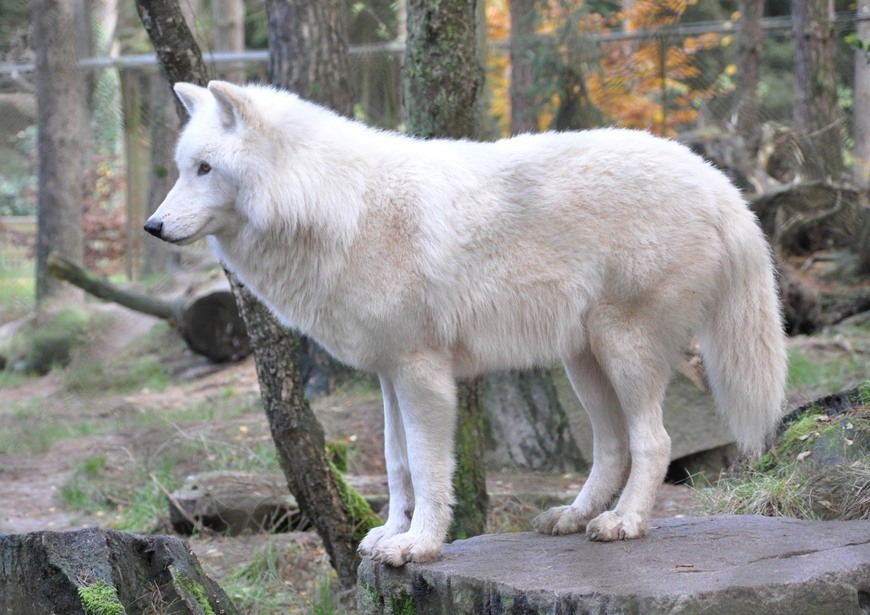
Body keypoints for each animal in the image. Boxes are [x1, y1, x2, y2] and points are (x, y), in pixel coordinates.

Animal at [145, 82, 792, 568]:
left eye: (205, 169)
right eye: (182, 169)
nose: (153, 226)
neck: (337, 205)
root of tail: (718, 179)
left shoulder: (422, 374)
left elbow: (431, 469)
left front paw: (419, 546)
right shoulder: (388, 374)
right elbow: (397, 463)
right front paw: (390, 534)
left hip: (623, 350)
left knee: (653, 442)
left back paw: (624, 523)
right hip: (583, 361)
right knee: (612, 447)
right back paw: (573, 517)